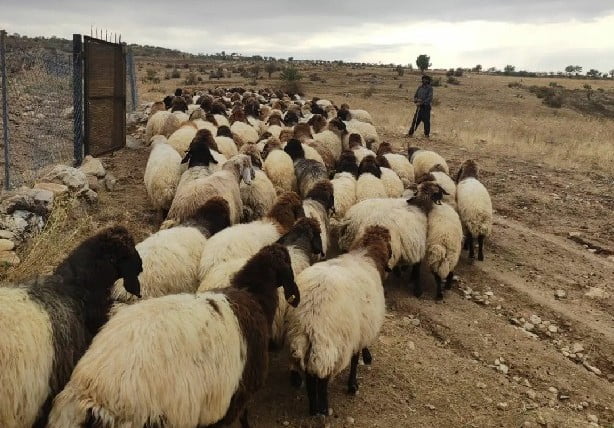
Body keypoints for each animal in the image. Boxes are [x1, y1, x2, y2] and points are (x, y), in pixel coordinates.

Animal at [286, 224, 392, 414]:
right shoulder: (359, 331)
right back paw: (323, 409)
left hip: (304, 342)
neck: (366, 255)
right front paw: (353, 385)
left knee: (310, 379)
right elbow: (355, 360)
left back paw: (313, 408)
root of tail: (308, 318)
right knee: (321, 380)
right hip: (330, 345)